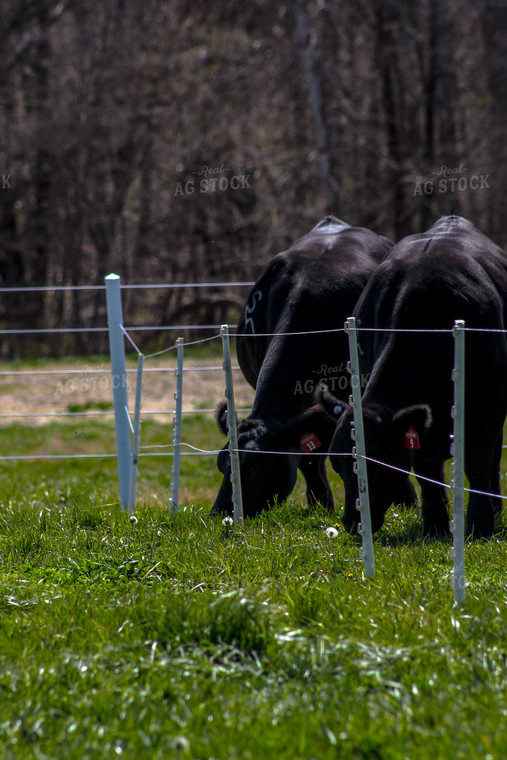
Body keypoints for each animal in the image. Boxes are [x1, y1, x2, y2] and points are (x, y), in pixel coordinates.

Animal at [318, 212, 507, 536]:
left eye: (376, 465)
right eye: (338, 465)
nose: (353, 522)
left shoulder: (492, 399)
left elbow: (478, 459)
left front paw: (479, 524)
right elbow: (425, 467)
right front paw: (435, 524)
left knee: (493, 457)